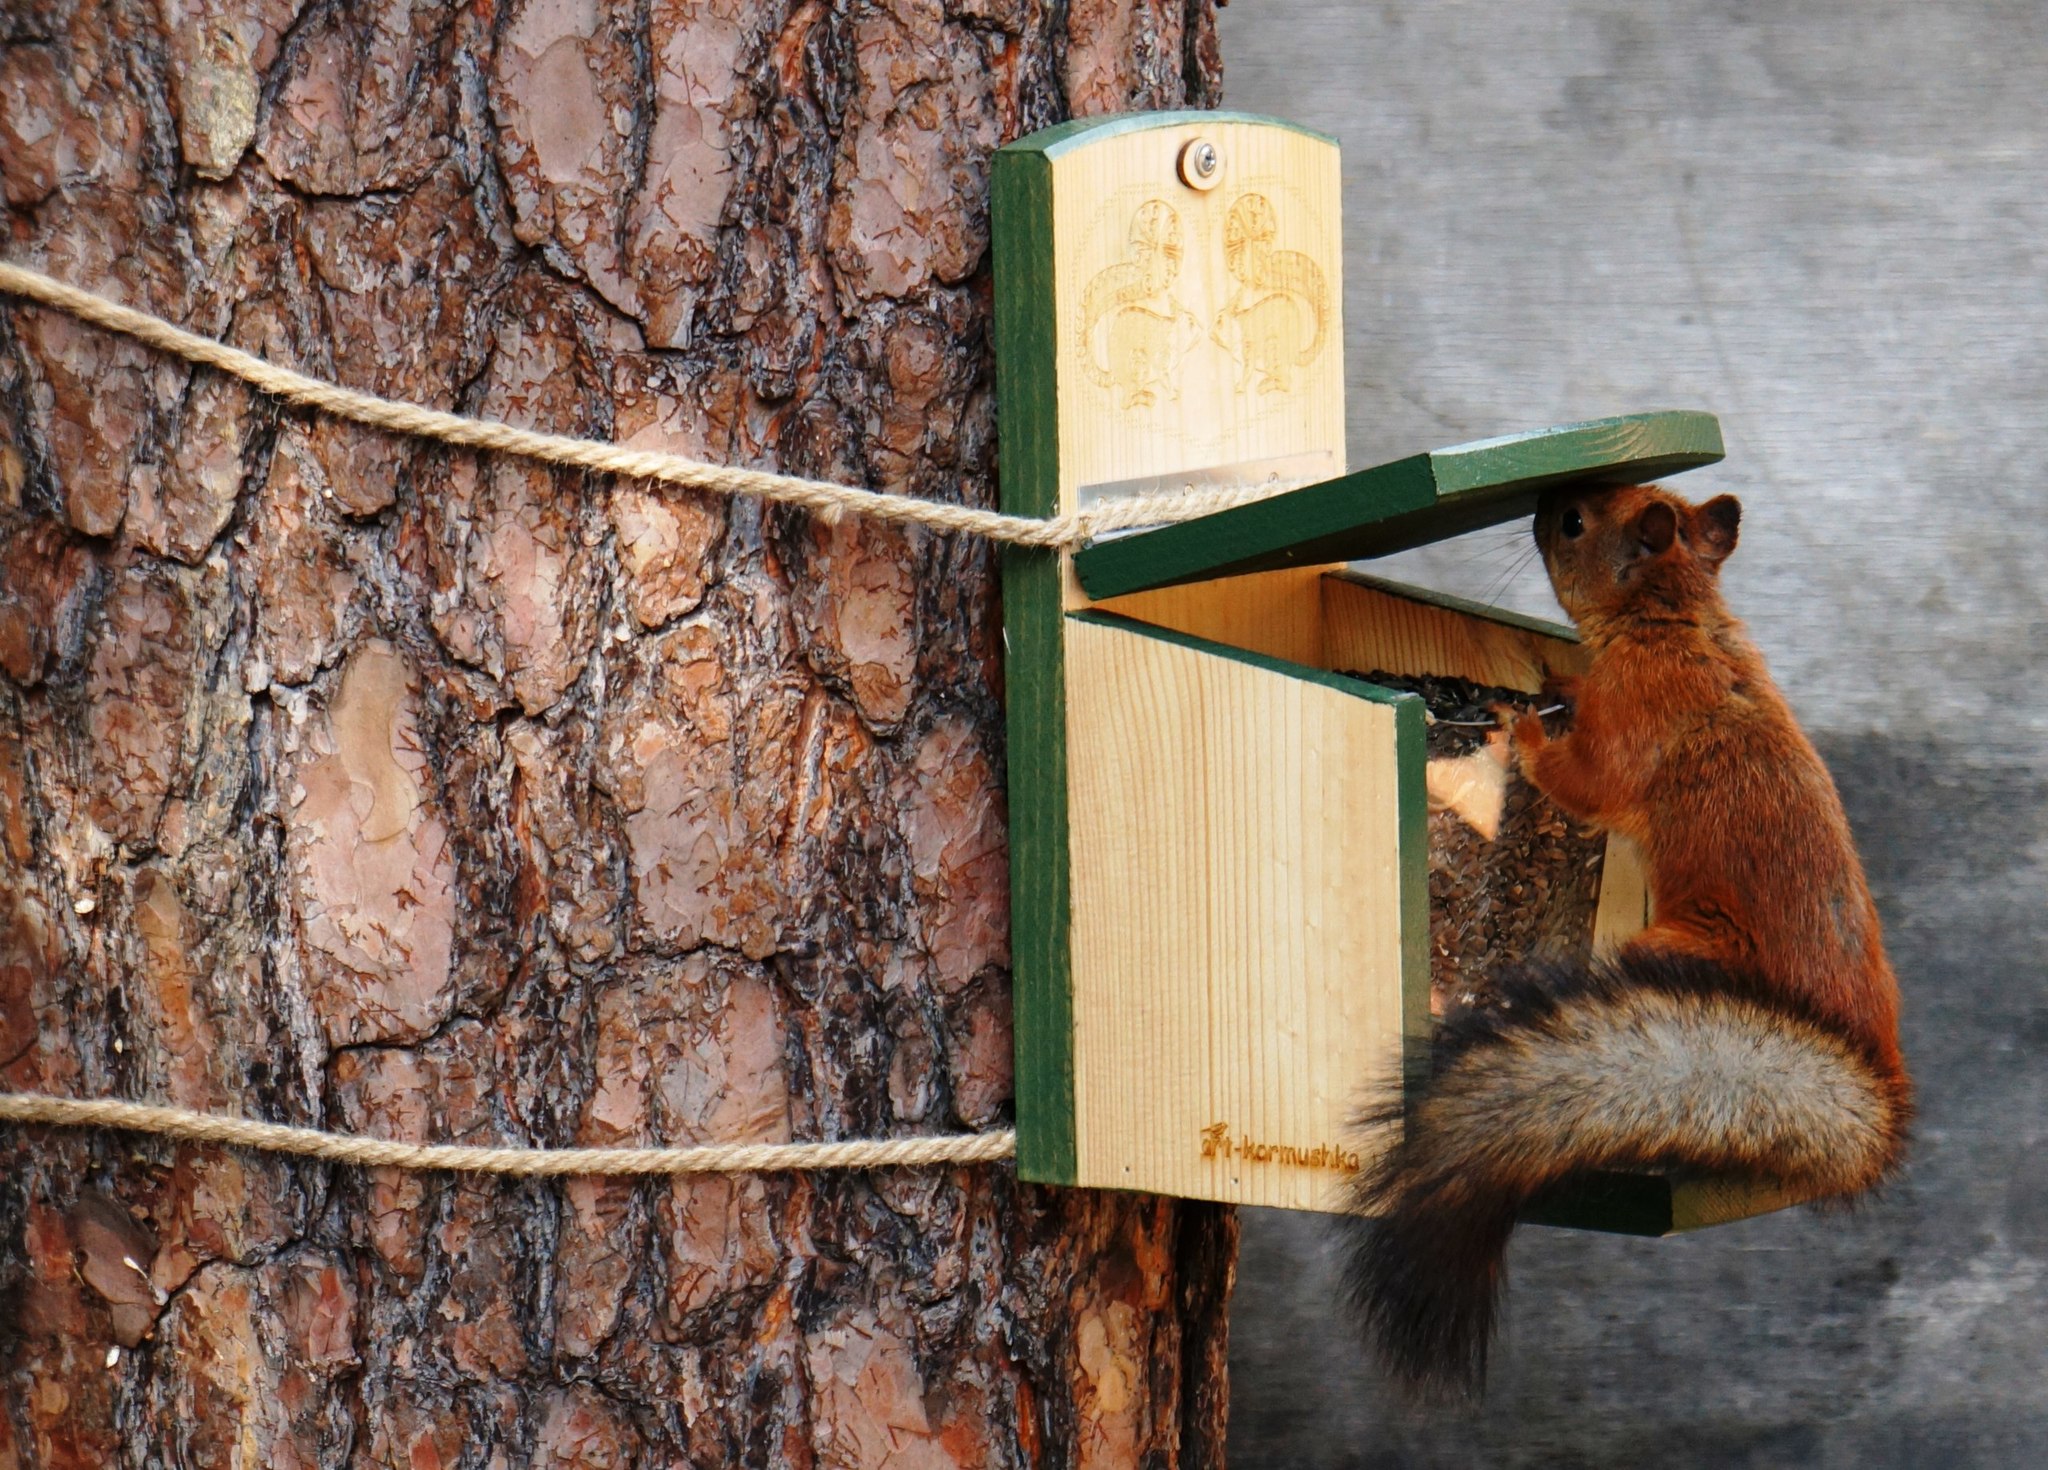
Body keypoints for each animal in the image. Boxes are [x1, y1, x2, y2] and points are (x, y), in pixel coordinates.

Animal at [1343, 487, 1916, 1408]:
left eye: (1575, 522)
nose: (1542, 502)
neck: (1673, 618)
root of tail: (1877, 1080)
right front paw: (1553, 680)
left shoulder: (1635, 719)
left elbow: (1588, 782)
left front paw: (1519, 728)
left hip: (1680, 947)